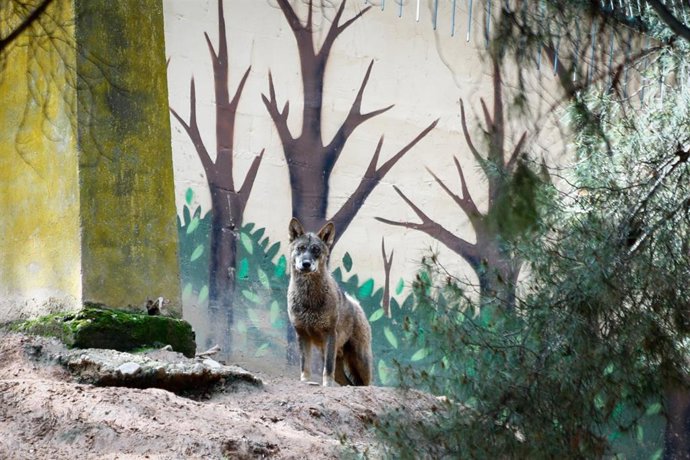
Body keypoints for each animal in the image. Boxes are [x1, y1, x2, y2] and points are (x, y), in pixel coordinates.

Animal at [287, 217, 373, 387]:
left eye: (316, 250)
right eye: (300, 248)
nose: (306, 264)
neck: (308, 299)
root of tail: (356, 303)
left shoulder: (329, 335)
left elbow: (327, 369)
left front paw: (326, 386)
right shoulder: (302, 335)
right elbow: (305, 366)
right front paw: (305, 382)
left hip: (360, 361)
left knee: (368, 383)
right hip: (331, 357)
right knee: (348, 383)